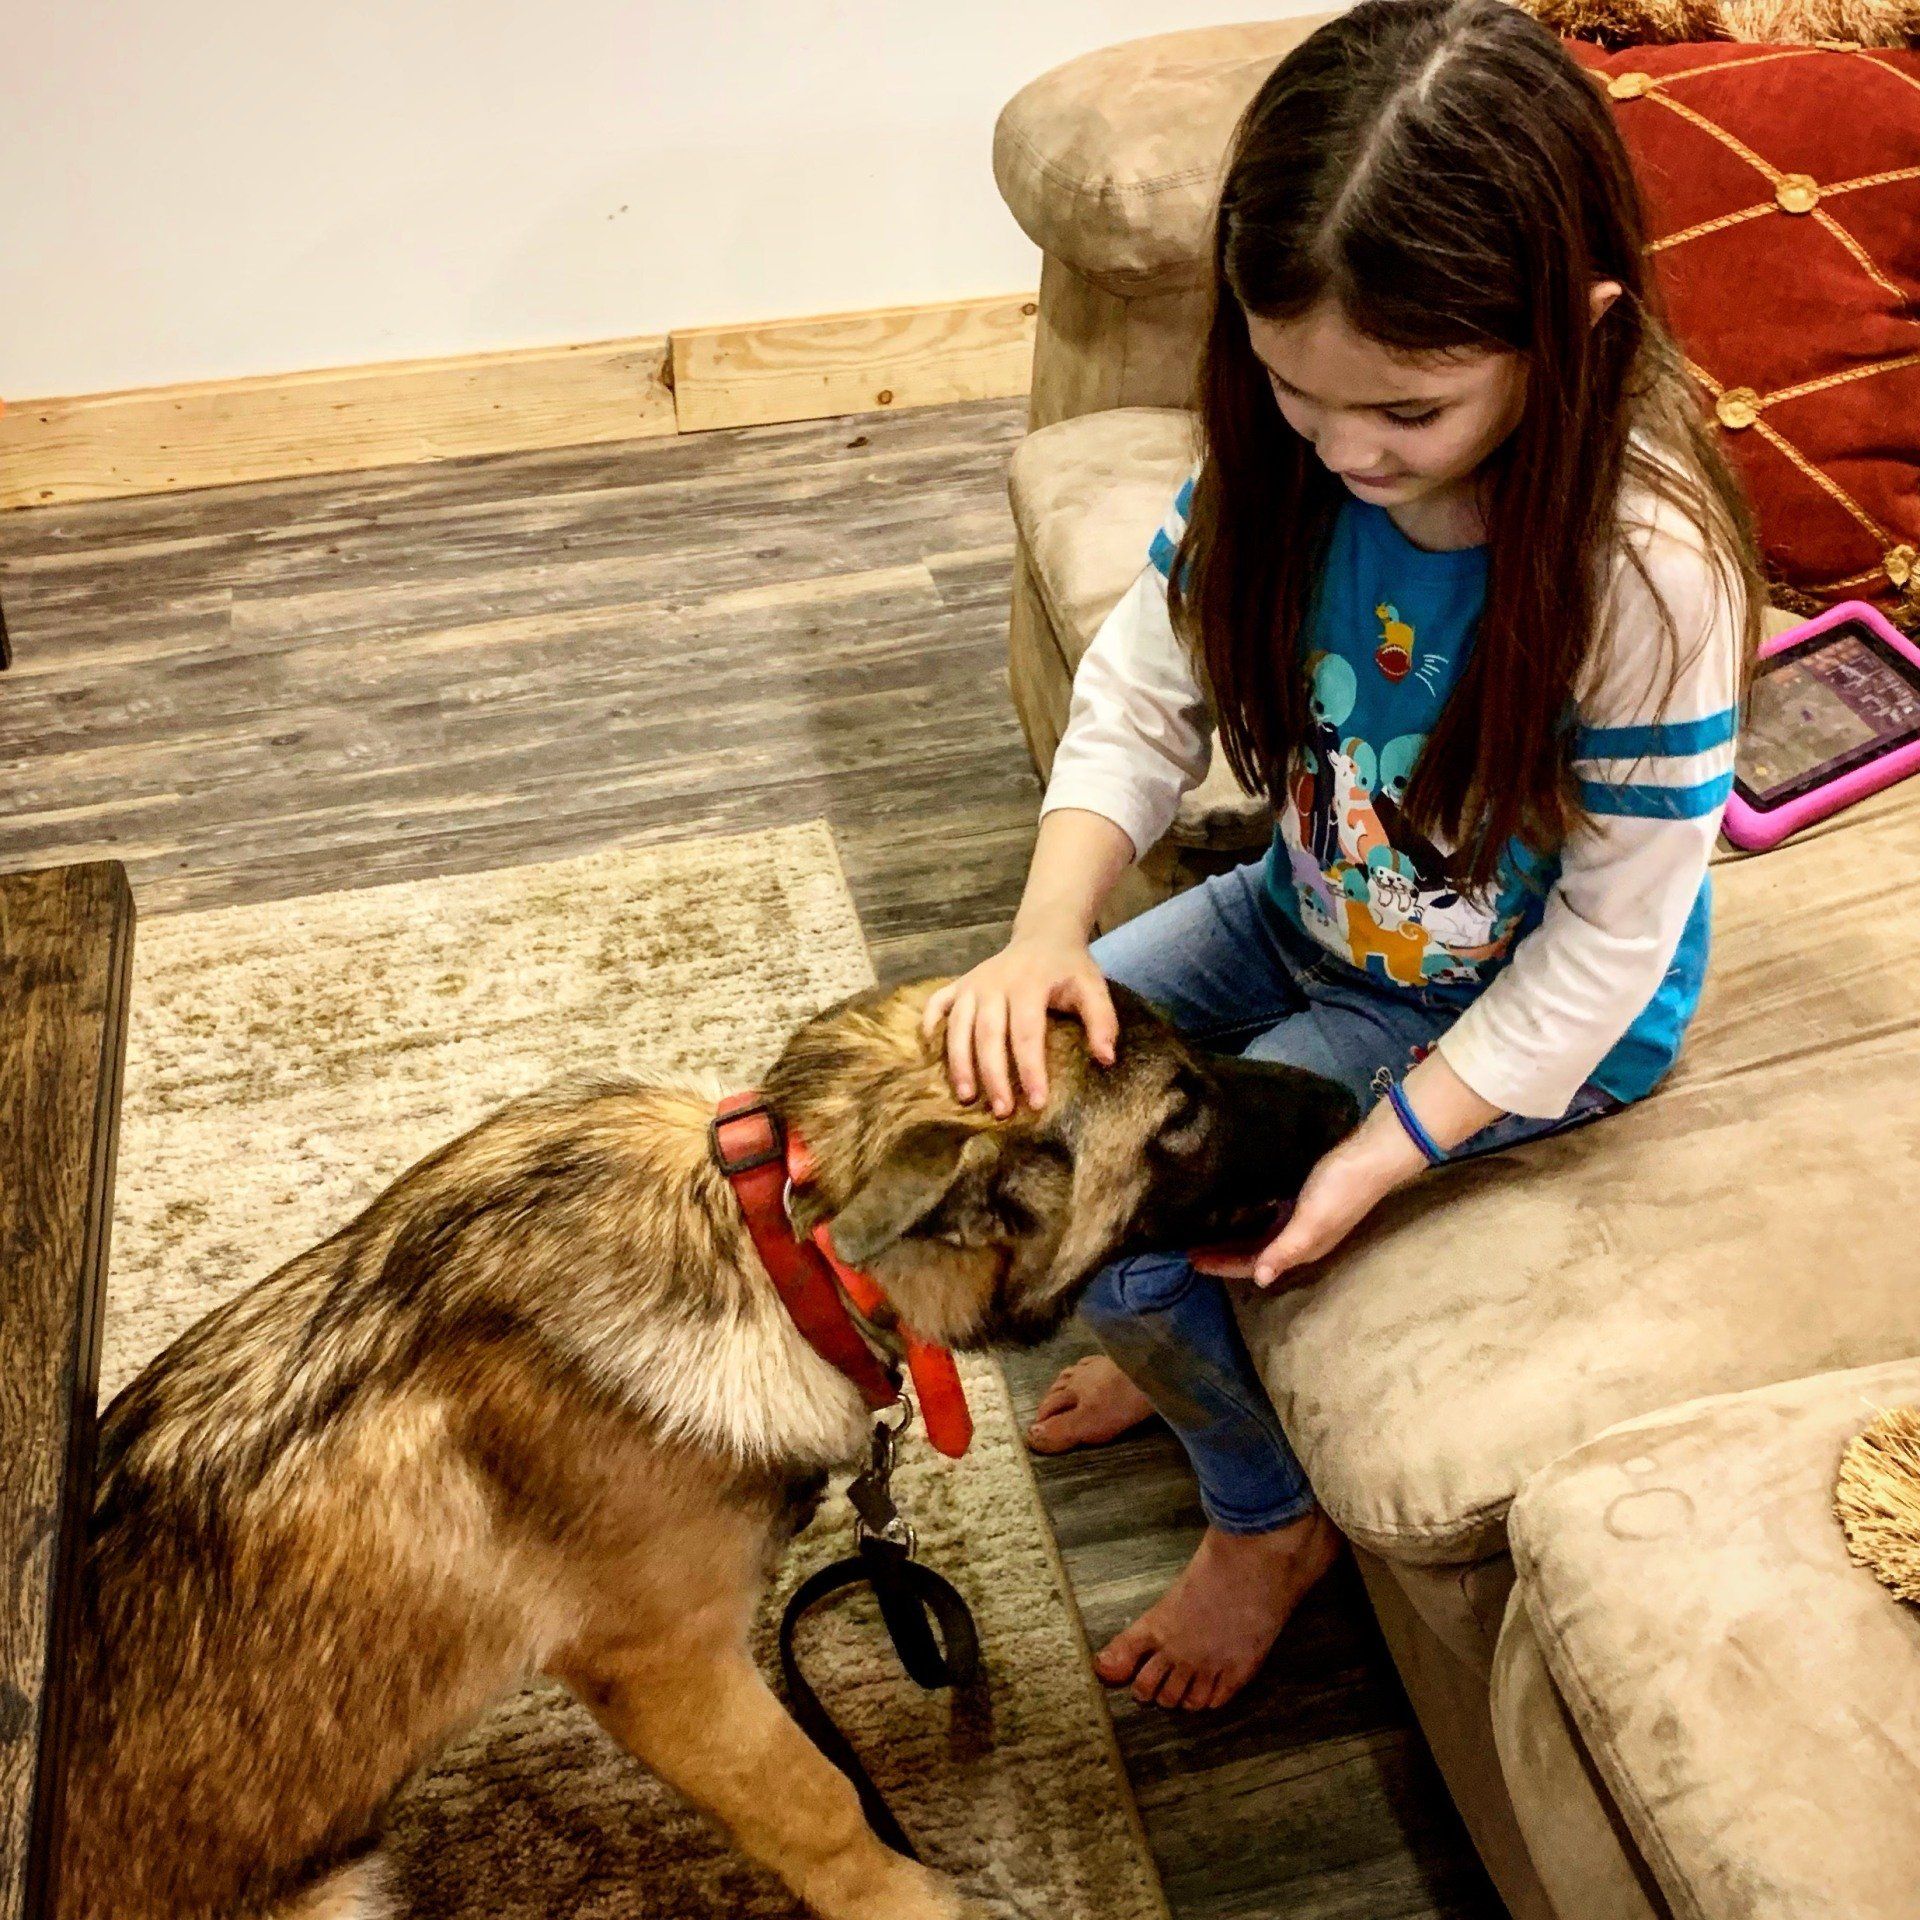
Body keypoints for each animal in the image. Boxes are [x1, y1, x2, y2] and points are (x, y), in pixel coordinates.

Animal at [62, 977, 1355, 1920]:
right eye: (1180, 1116)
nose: (1354, 1099)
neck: (772, 1248)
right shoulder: (668, 1672)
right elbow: (817, 1800)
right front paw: (914, 1905)